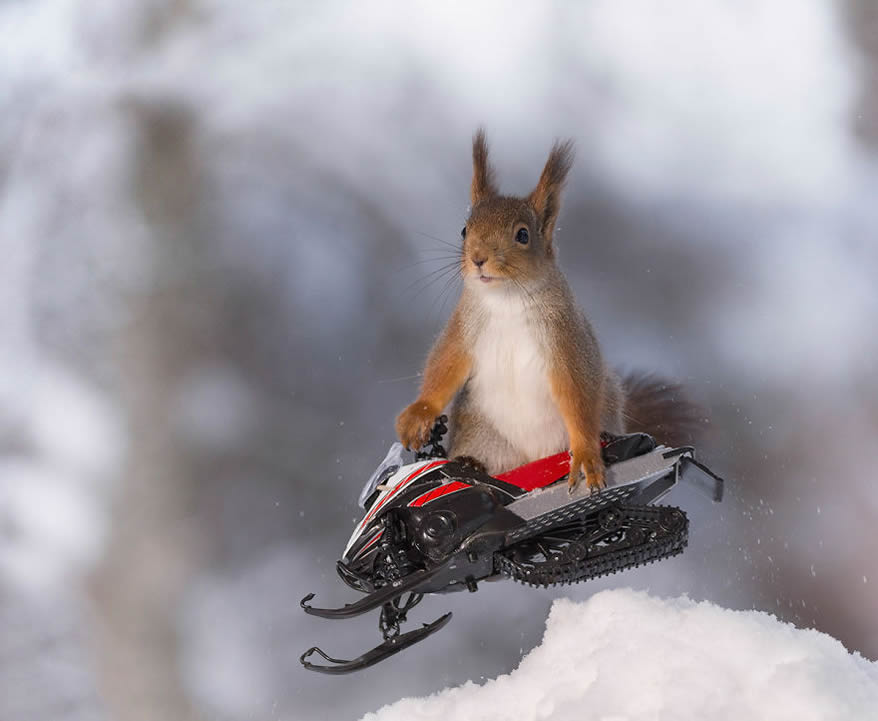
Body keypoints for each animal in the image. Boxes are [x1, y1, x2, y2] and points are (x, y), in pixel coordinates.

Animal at [396, 128, 696, 490]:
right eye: (465, 230)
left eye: (523, 235)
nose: (478, 258)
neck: (508, 299)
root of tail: (533, 459)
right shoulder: (465, 325)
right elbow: (445, 363)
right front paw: (418, 415)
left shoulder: (564, 333)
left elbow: (577, 390)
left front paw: (586, 453)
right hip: (485, 437)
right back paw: (470, 464)